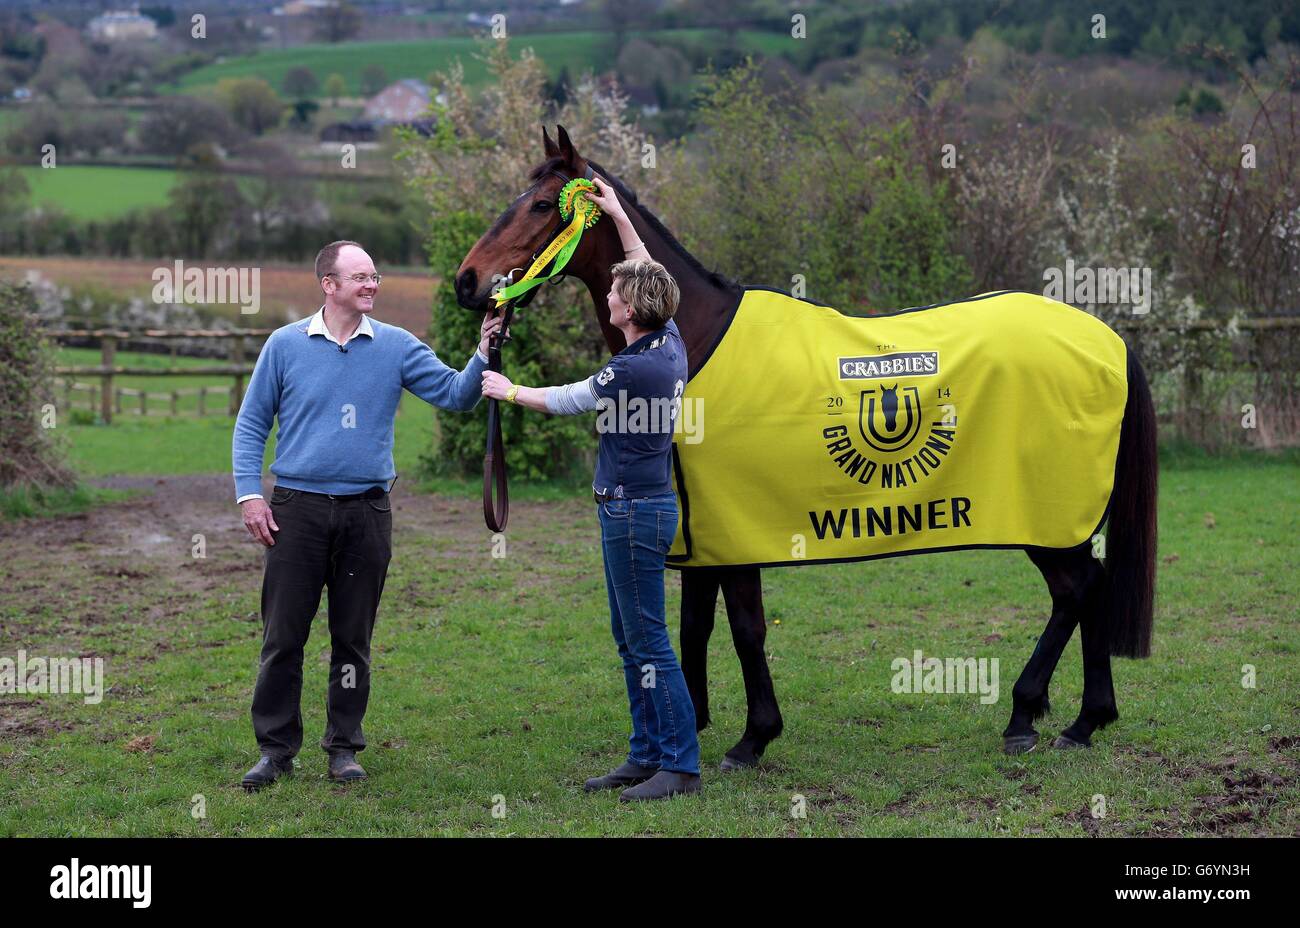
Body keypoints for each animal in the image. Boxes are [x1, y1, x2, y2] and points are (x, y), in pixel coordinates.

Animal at [454, 126, 1159, 764]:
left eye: (540, 205)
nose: (468, 281)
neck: (693, 335)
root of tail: (1106, 340)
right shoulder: (700, 528)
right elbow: (696, 623)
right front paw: (697, 722)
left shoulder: (735, 530)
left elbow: (745, 628)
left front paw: (753, 737)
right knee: (1085, 589)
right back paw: (1085, 721)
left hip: (1044, 517)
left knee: (1077, 589)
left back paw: (1028, 713)